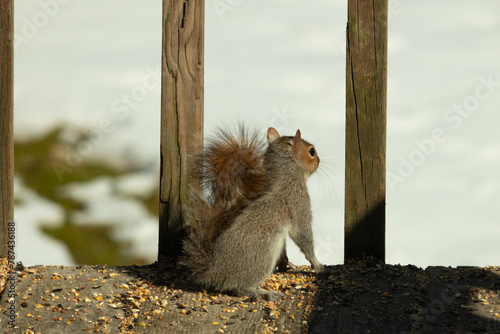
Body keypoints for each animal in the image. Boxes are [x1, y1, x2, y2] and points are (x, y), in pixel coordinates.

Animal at [182, 126, 322, 300]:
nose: (319, 161)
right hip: (262, 255)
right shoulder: (298, 201)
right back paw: (263, 292)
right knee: (238, 287)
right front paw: (317, 264)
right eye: (311, 151)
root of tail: (214, 272)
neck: (287, 174)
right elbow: (303, 236)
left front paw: (287, 263)